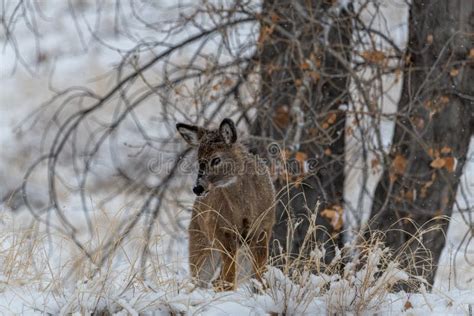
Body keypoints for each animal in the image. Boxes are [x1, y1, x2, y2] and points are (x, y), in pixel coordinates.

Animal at [177, 118, 274, 292]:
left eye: (216, 159)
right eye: (199, 160)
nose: (198, 188)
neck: (245, 210)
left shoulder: (265, 226)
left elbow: (259, 271)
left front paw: (262, 290)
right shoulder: (221, 228)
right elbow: (229, 272)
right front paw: (228, 292)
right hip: (200, 242)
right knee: (201, 279)